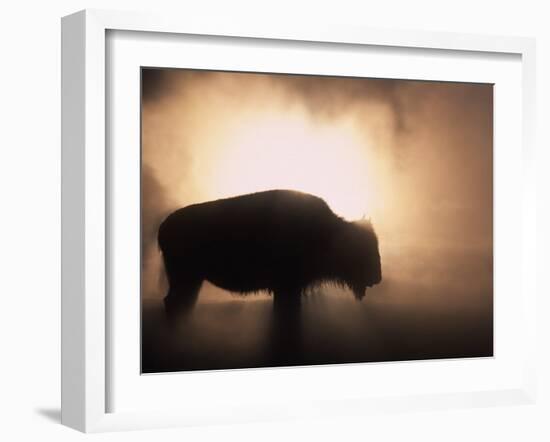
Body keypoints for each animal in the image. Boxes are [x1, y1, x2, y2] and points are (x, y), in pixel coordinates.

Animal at [158, 190, 384, 318]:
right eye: (363, 247)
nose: (377, 277)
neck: (329, 231)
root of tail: (164, 225)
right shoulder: (286, 287)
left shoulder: (289, 289)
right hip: (184, 279)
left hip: (192, 280)